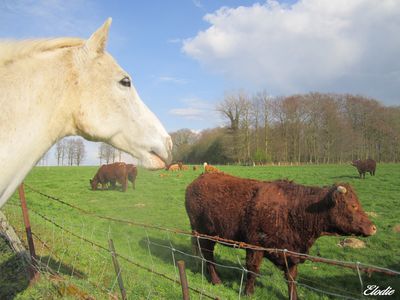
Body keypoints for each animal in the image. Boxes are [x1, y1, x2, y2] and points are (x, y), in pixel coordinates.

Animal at [186, 172, 376, 298]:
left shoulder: (290, 253)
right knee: (208, 256)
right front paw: (248, 292)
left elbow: (291, 278)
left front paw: (294, 297)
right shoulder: (255, 246)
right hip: (204, 234)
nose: (373, 228)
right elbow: (252, 270)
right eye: (352, 206)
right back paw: (216, 280)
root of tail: (198, 180)